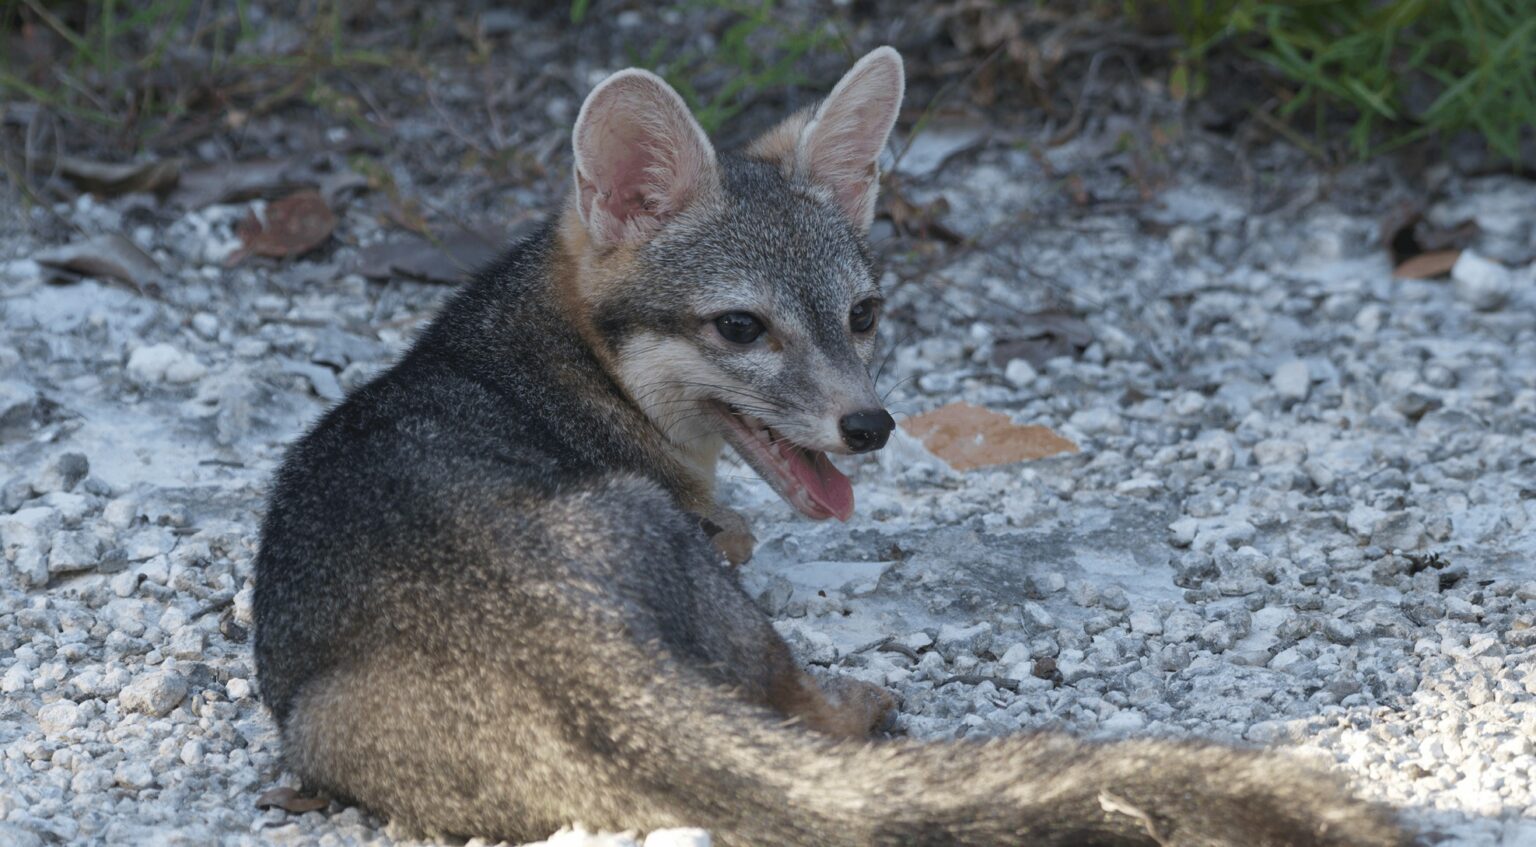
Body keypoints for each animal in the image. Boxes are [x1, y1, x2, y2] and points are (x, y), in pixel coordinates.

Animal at [253, 47, 1411, 846]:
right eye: (740, 328)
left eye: (863, 314)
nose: (870, 425)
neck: (543, 357)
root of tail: (566, 647)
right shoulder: (716, 530)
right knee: (800, 704)